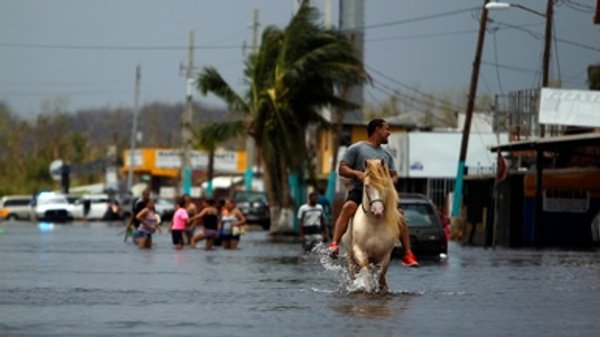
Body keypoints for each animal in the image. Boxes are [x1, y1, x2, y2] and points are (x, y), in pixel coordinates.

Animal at [342, 158, 404, 292]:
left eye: (384, 184)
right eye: (366, 185)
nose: (378, 210)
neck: (374, 224)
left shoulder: (385, 255)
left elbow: (381, 275)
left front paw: (382, 287)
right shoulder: (359, 251)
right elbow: (366, 269)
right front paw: (367, 287)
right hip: (350, 256)